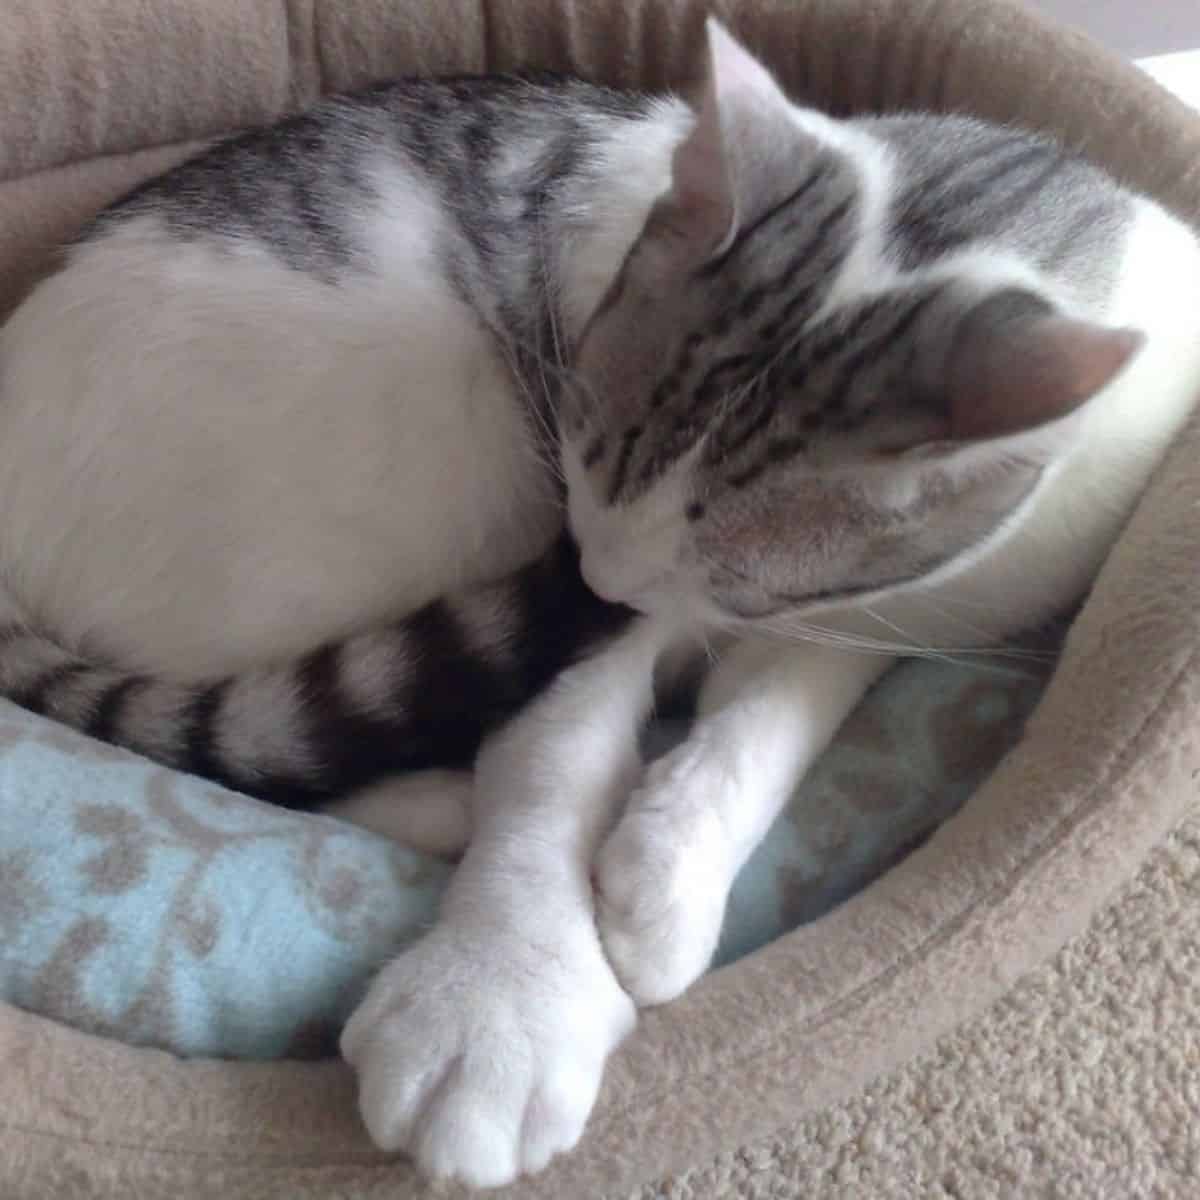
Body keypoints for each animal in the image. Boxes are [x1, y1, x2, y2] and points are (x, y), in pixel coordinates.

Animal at [2, 18, 1200, 1190]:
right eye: (580, 457)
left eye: (730, 570)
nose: (593, 576)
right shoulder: (573, 589)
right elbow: (552, 763)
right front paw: (503, 996)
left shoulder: (851, 614)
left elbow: (771, 720)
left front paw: (669, 870)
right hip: (418, 481)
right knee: (261, 738)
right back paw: (442, 800)